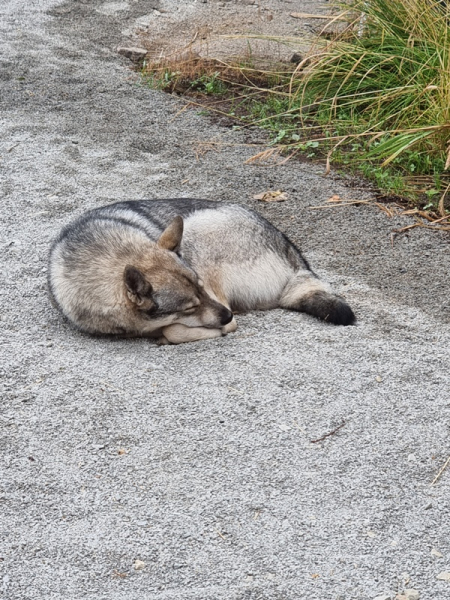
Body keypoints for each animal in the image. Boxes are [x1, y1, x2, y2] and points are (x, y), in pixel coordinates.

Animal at [48, 199, 356, 344]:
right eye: (189, 306)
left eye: (200, 289)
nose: (226, 314)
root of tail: (293, 255)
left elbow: (177, 330)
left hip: (197, 233)